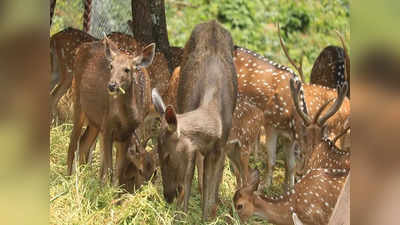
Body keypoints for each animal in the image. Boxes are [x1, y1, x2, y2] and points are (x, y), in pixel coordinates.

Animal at [66, 35, 155, 186]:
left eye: (127, 69)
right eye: (111, 66)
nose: (112, 85)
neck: (126, 120)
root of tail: (82, 47)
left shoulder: (126, 134)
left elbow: (118, 170)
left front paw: (111, 189)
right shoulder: (107, 127)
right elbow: (108, 169)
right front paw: (104, 189)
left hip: (95, 121)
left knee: (83, 144)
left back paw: (82, 179)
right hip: (77, 101)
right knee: (72, 143)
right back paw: (67, 179)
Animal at [152, 21, 236, 220]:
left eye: (167, 156)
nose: (168, 195)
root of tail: (213, 22)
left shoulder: (217, 149)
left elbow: (209, 191)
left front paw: (207, 217)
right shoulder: (191, 148)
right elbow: (189, 178)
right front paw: (181, 215)